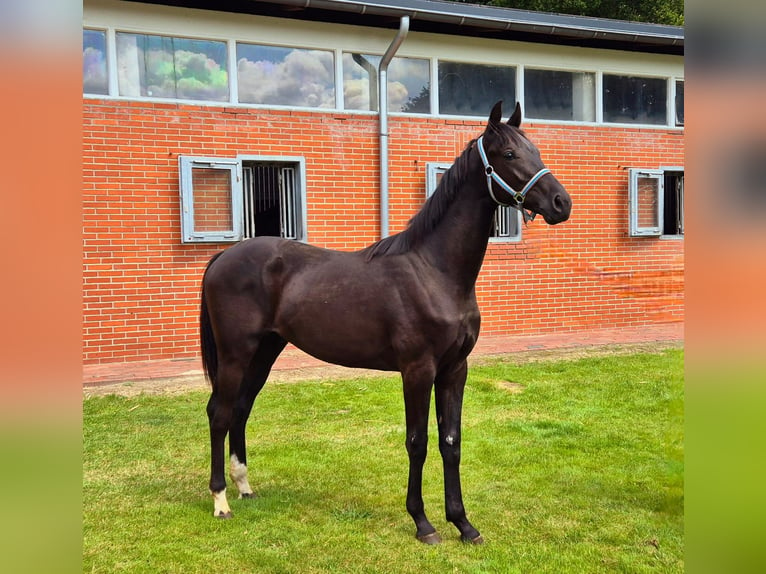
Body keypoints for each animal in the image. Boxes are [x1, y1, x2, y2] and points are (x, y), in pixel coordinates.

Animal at [201, 101, 572, 548]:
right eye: (509, 154)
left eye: (535, 150)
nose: (561, 202)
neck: (436, 271)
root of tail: (225, 256)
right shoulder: (417, 371)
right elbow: (418, 442)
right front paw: (423, 523)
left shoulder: (455, 370)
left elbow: (451, 442)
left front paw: (463, 524)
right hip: (236, 354)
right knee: (220, 413)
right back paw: (221, 501)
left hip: (264, 352)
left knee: (240, 410)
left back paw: (244, 486)